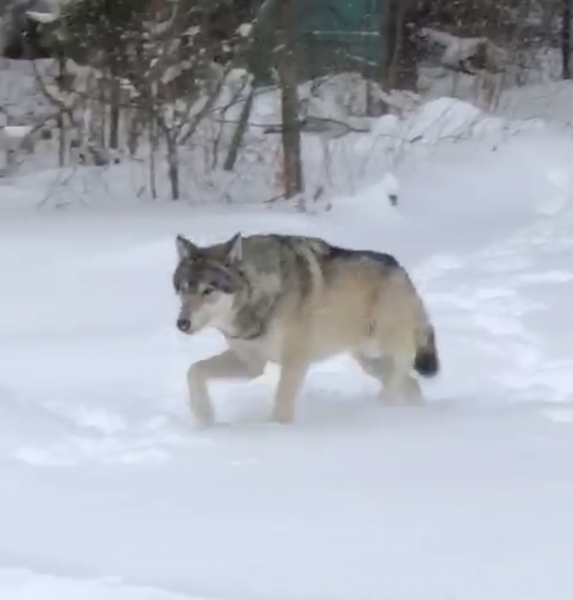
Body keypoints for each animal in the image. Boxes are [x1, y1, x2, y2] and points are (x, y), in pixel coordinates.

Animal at [172, 232, 440, 424]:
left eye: (208, 290)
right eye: (183, 289)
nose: (182, 323)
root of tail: (402, 271)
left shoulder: (295, 361)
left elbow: (282, 403)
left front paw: (276, 432)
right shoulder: (250, 364)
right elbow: (194, 371)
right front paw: (204, 417)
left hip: (383, 345)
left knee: (403, 368)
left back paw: (383, 406)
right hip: (369, 361)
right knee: (411, 384)